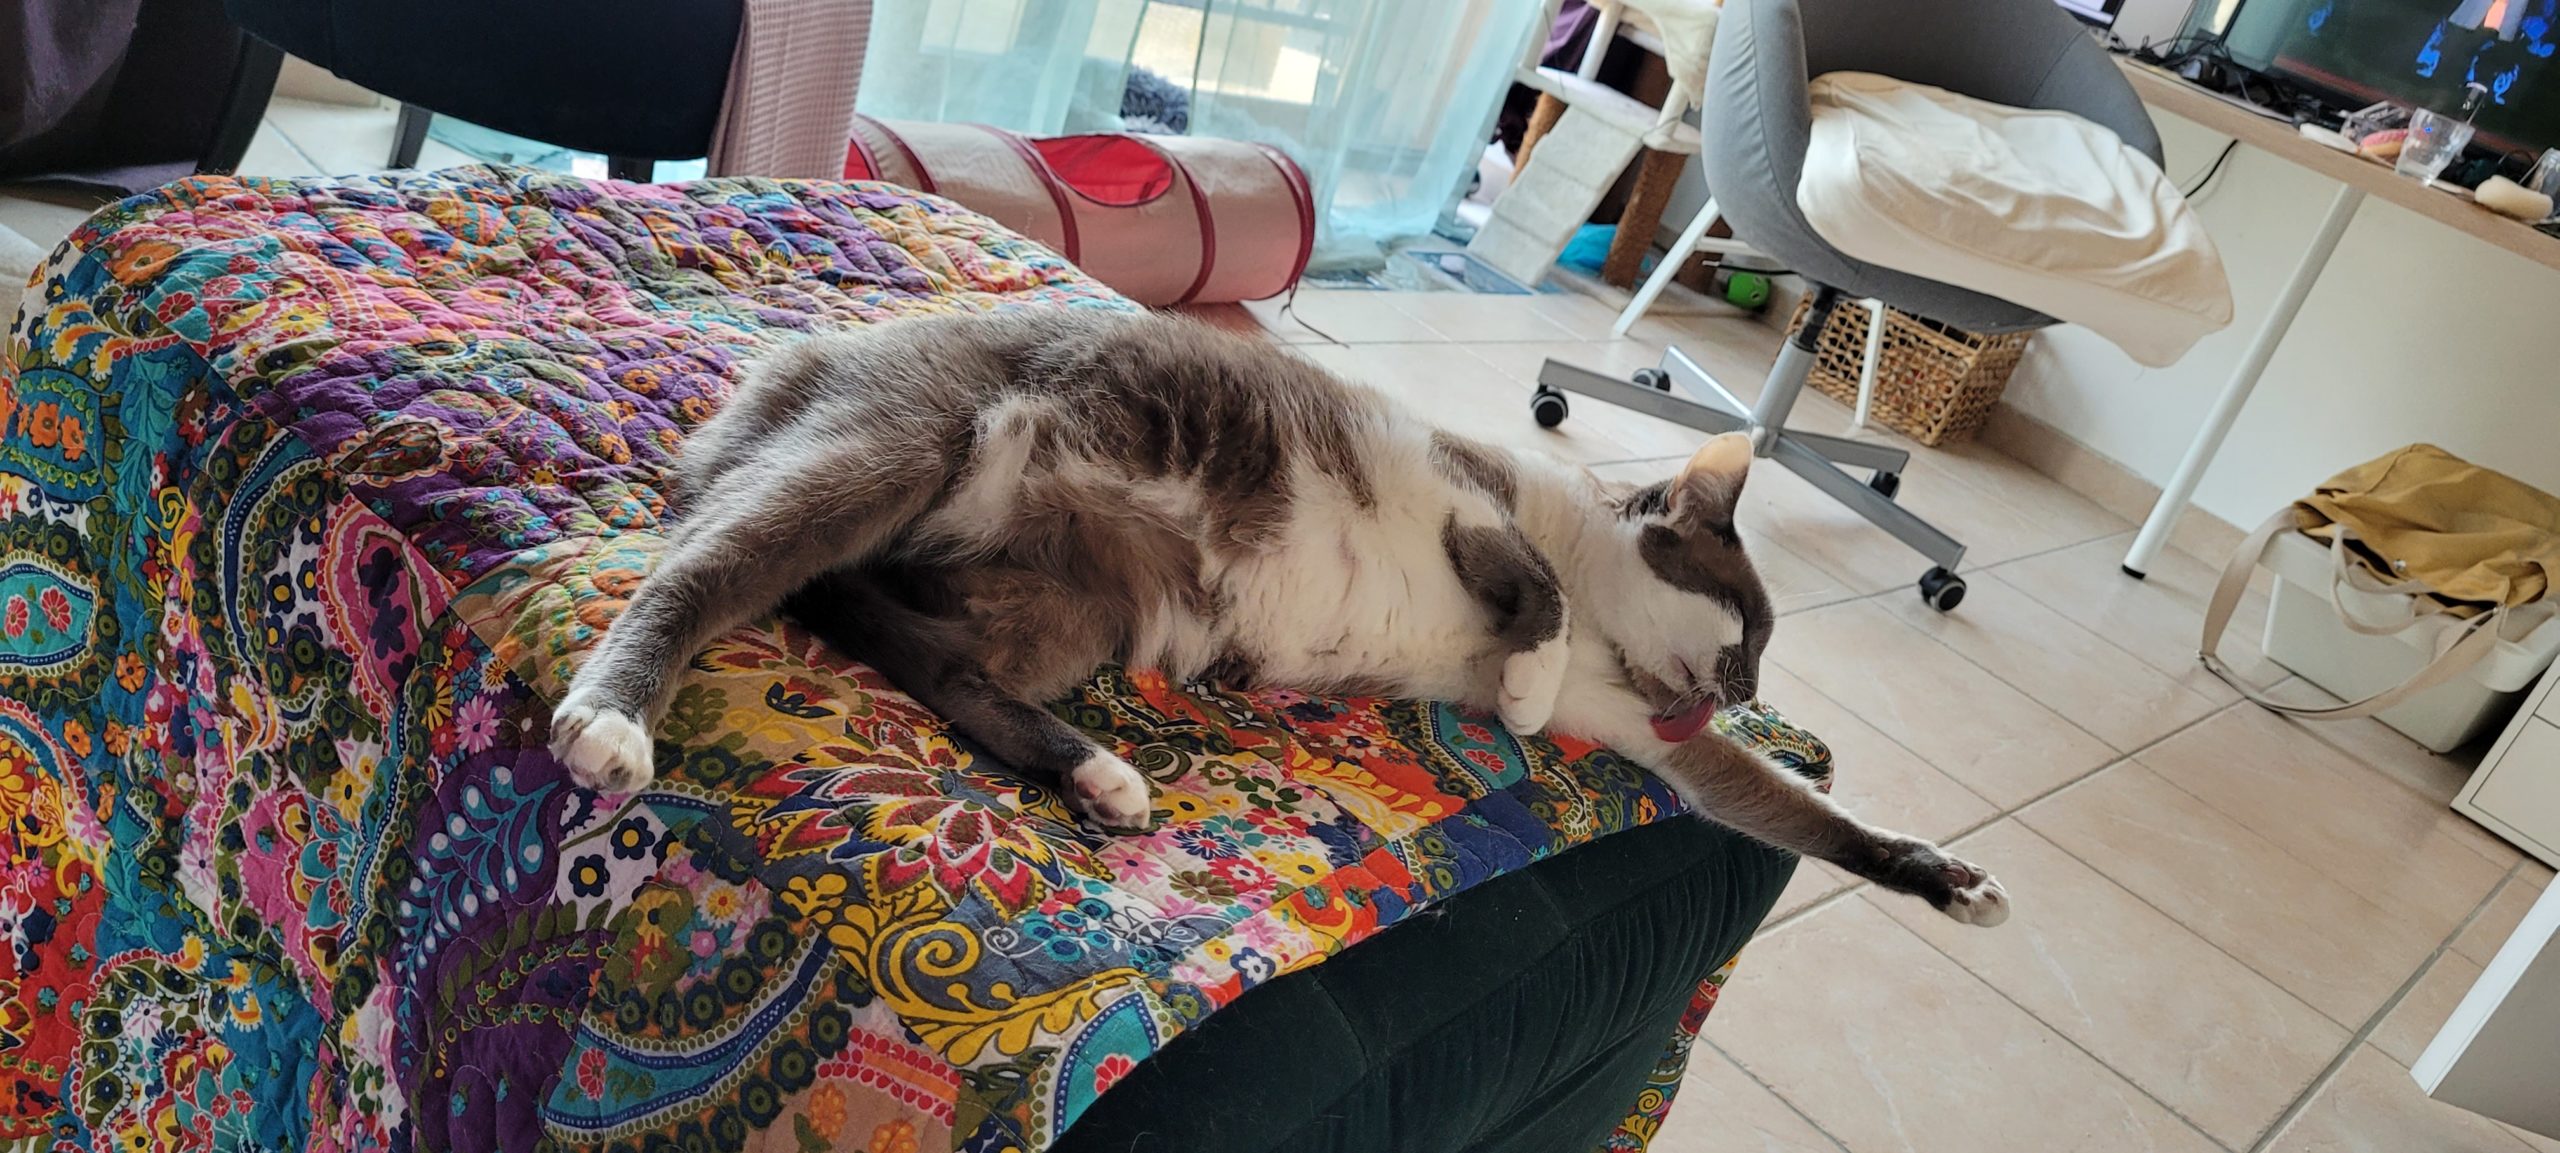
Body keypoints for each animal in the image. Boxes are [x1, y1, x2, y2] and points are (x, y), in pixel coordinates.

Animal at [550, 308, 2007, 927]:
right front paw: (1524, 690)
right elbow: (1531, 592)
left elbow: (1803, 811)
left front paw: (1941, 877)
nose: (1745, 690)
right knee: (705, 569)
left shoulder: (1653, 731)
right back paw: (612, 720)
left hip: (1064, 608)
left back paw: (1097, 773)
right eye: (1749, 630)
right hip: (891, 456)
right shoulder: (1466, 501)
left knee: (928, 660)